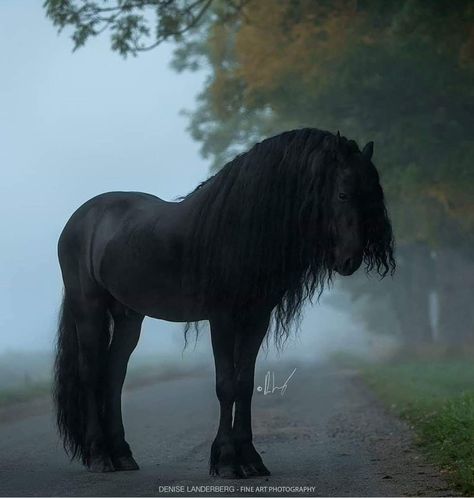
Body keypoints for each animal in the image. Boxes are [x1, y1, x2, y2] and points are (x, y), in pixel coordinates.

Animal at [53, 128, 396, 478]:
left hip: (128, 316)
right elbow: (225, 385)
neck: (241, 228)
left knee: (114, 374)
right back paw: (99, 456)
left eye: (373, 193)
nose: (350, 260)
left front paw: (251, 459)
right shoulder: (221, 318)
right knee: (90, 372)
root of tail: (80, 218)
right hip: (89, 308)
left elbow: (244, 384)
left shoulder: (257, 318)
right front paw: (228, 460)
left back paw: (122, 455)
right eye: (342, 194)